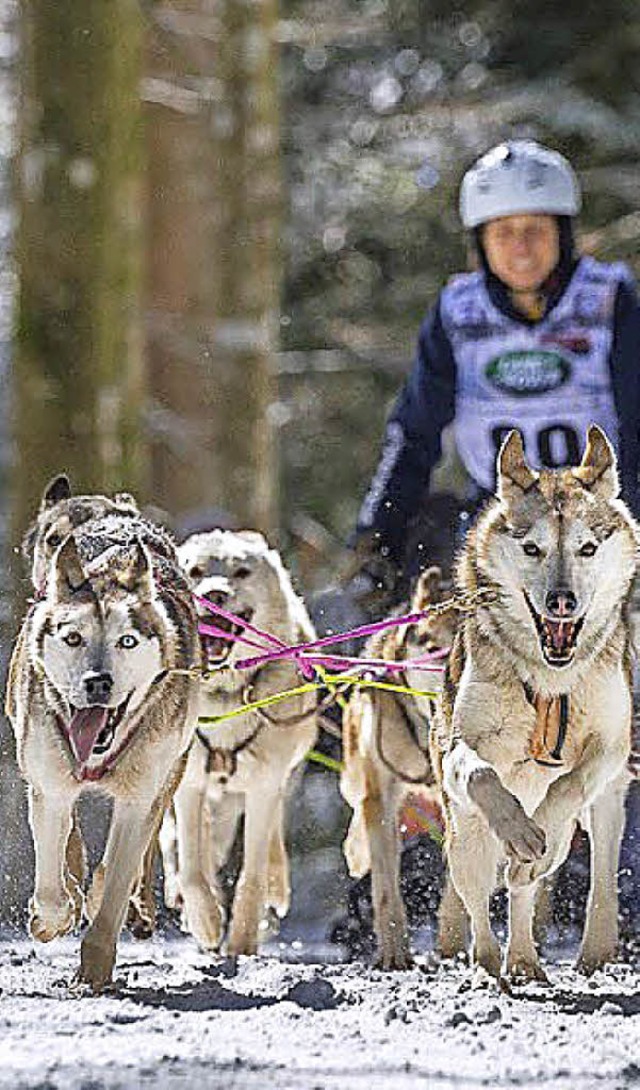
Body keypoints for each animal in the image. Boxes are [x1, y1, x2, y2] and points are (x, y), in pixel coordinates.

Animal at [5, 483, 200, 989]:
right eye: (73, 638)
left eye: (126, 641)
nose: (98, 683)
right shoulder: (49, 785)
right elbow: (52, 878)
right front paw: (52, 916)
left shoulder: (140, 797)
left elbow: (117, 878)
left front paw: (94, 966)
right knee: (69, 839)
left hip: (171, 771)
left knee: (140, 857)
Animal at [159, 531, 318, 959]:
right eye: (195, 571)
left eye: (241, 572)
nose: (214, 593)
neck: (226, 693)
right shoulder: (189, 784)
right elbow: (192, 867)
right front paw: (206, 920)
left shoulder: (264, 785)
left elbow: (252, 874)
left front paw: (243, 937)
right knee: (182, 842)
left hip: (280, 779)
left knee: (272, 836)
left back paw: (276, 886)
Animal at [433, 427, 636, 989]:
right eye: (532, 548)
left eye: (587, 548)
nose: (562, 601)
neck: (550, 680)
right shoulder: (462, 749)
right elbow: (481, 773)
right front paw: (520, 827)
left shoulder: (610, 749)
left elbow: (569, 784)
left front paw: (534, 829)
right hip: (464, 839)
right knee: (479, 902)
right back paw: (489, 961)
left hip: (592, 821)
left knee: (531, 886)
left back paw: (526, 958)